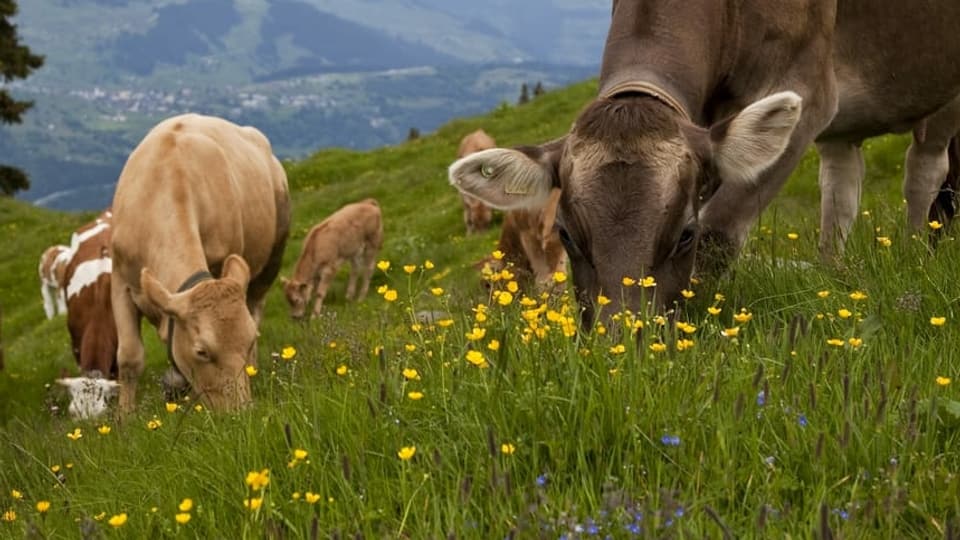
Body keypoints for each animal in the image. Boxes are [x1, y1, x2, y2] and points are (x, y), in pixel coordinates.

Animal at [110, 114, 290, 414]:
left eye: (248, 340)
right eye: (202, 352)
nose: (242, 413)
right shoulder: (120, 281)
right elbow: (129, 358)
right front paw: (125, 417)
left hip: (272, 258)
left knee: (256, 305)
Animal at [448, 0, 960, 322]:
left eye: (684, 235)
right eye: (567, 234)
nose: (621, 350)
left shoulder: (808, 90)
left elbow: (719, 234)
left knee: (924, 170)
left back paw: (915, 251)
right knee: (841, 182)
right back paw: (834, 274)